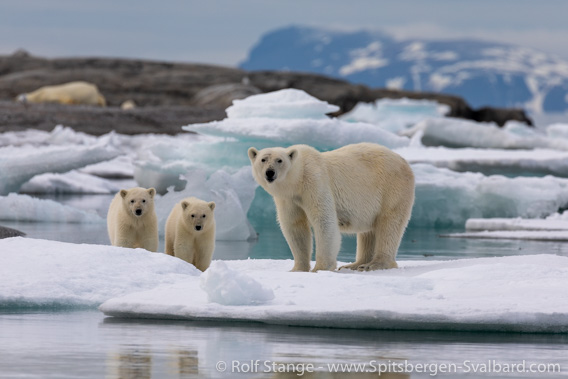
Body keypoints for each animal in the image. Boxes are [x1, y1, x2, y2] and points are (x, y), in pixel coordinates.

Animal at [247, 143, 412, 274]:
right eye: (263, 159)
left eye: (279, 160)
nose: (270, 172)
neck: (298, 178)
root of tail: (405, 162)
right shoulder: (288, 199)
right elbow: (295, 226)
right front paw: (297, 269)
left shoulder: (314, 182)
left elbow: (324, 221)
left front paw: (320, 268)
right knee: (369, 232)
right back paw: (356, 264)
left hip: (392, 189)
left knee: (389, 225)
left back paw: (374, 264)